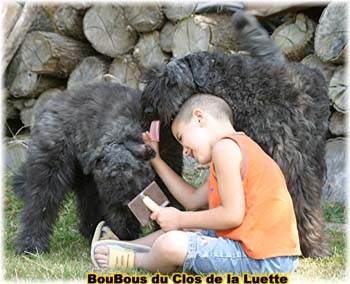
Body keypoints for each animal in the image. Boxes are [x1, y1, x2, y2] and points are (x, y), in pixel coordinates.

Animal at [12, 82, 182, 255]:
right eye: (109, 182)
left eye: (133, 177)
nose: (125, 230)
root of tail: (51, 104)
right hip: (50, 171)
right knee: (39, 204)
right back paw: (30, 245)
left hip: (85, 181)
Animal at [140, 12, 330, 258]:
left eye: (170, 81)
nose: (147, 109)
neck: (242, 91)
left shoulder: (293, 165)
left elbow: (301, 203)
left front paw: (312, 246)